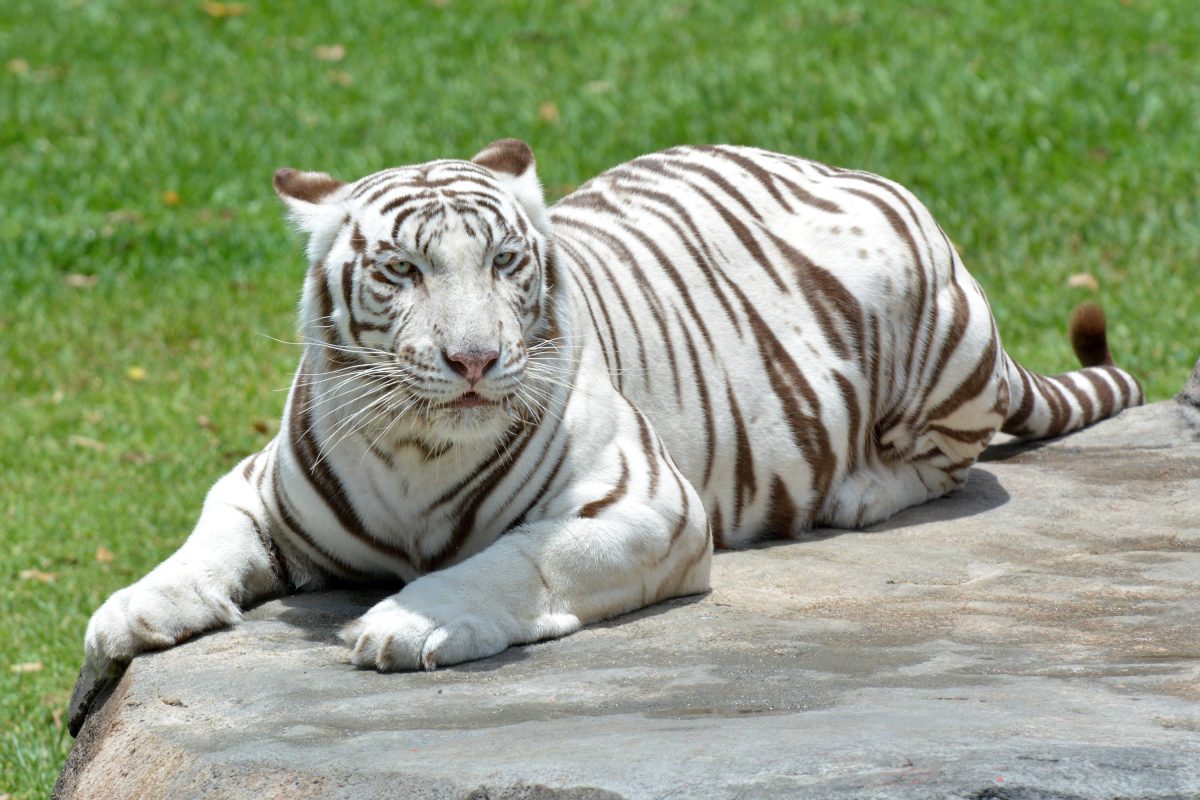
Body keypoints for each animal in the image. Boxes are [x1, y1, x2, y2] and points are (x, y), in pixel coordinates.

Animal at [79, 139, 1137, 700]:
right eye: (403, 270)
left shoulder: (650, 507)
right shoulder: (254, 483)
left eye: (505, 262)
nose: (475, 359)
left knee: (951, 458)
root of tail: (842, 167)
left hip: (937, 341)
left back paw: (862, 494)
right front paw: (134, 609)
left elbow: (516, 560)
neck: (420, 447)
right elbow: (205, 540)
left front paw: (413, 620)